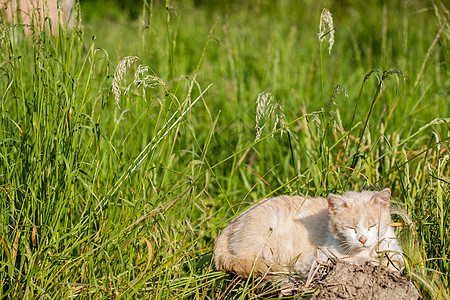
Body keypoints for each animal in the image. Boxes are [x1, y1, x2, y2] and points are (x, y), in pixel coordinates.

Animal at [214, 189, 404, 278]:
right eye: (351, 227)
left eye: (373, 225)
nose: (363, 239)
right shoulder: (321, 258)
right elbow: (354, 260)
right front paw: (368, 261)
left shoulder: (394, 251)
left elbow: (393, 263)